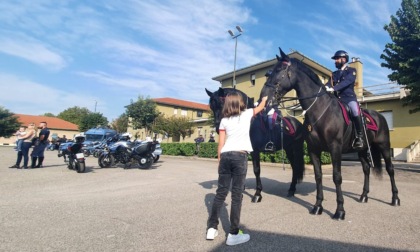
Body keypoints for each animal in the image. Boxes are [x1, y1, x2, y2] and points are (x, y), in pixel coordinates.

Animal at [260, 48, 402, 220]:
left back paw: (395, 198)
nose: (263, 96)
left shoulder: (335, 148)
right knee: (366, 169)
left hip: (384, 146)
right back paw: (363, 196)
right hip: (361, 150)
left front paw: (340, 210)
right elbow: (318, 176)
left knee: (390, 169)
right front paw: (317, 206)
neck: (321, 110)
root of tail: (379, 116)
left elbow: (337, 177)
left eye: (279, 70)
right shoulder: (314, 150)